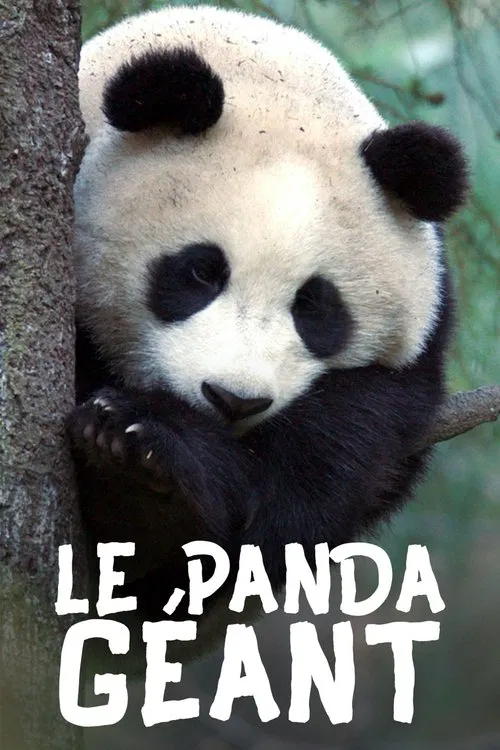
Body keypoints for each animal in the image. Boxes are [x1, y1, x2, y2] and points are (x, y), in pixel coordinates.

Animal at [70, 5, 468, 642]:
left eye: (314, 307)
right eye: (201, 272)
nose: (233, 400)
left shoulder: (418, 346)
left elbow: (330, 458)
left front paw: (149, 464)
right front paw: (126, 456)